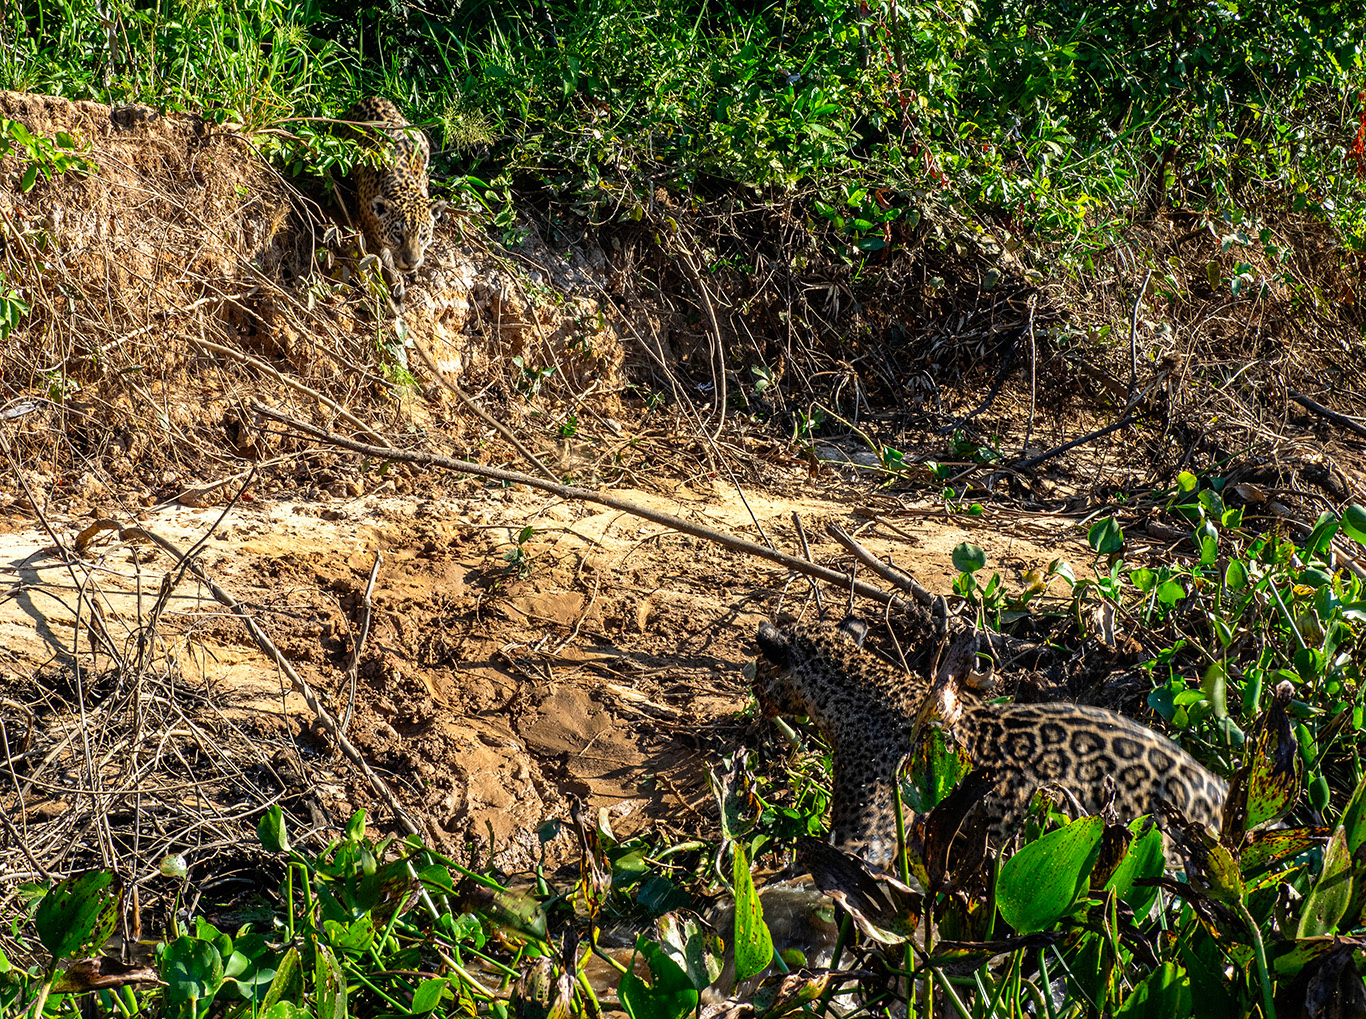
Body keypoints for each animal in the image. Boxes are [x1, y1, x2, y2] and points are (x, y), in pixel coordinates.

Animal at [343, 97, 447, 300]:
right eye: (398, 235)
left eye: (422, 235)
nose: (411, 262)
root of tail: (372, 97)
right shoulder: (372, 233)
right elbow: (385, 264)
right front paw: (395, 289)